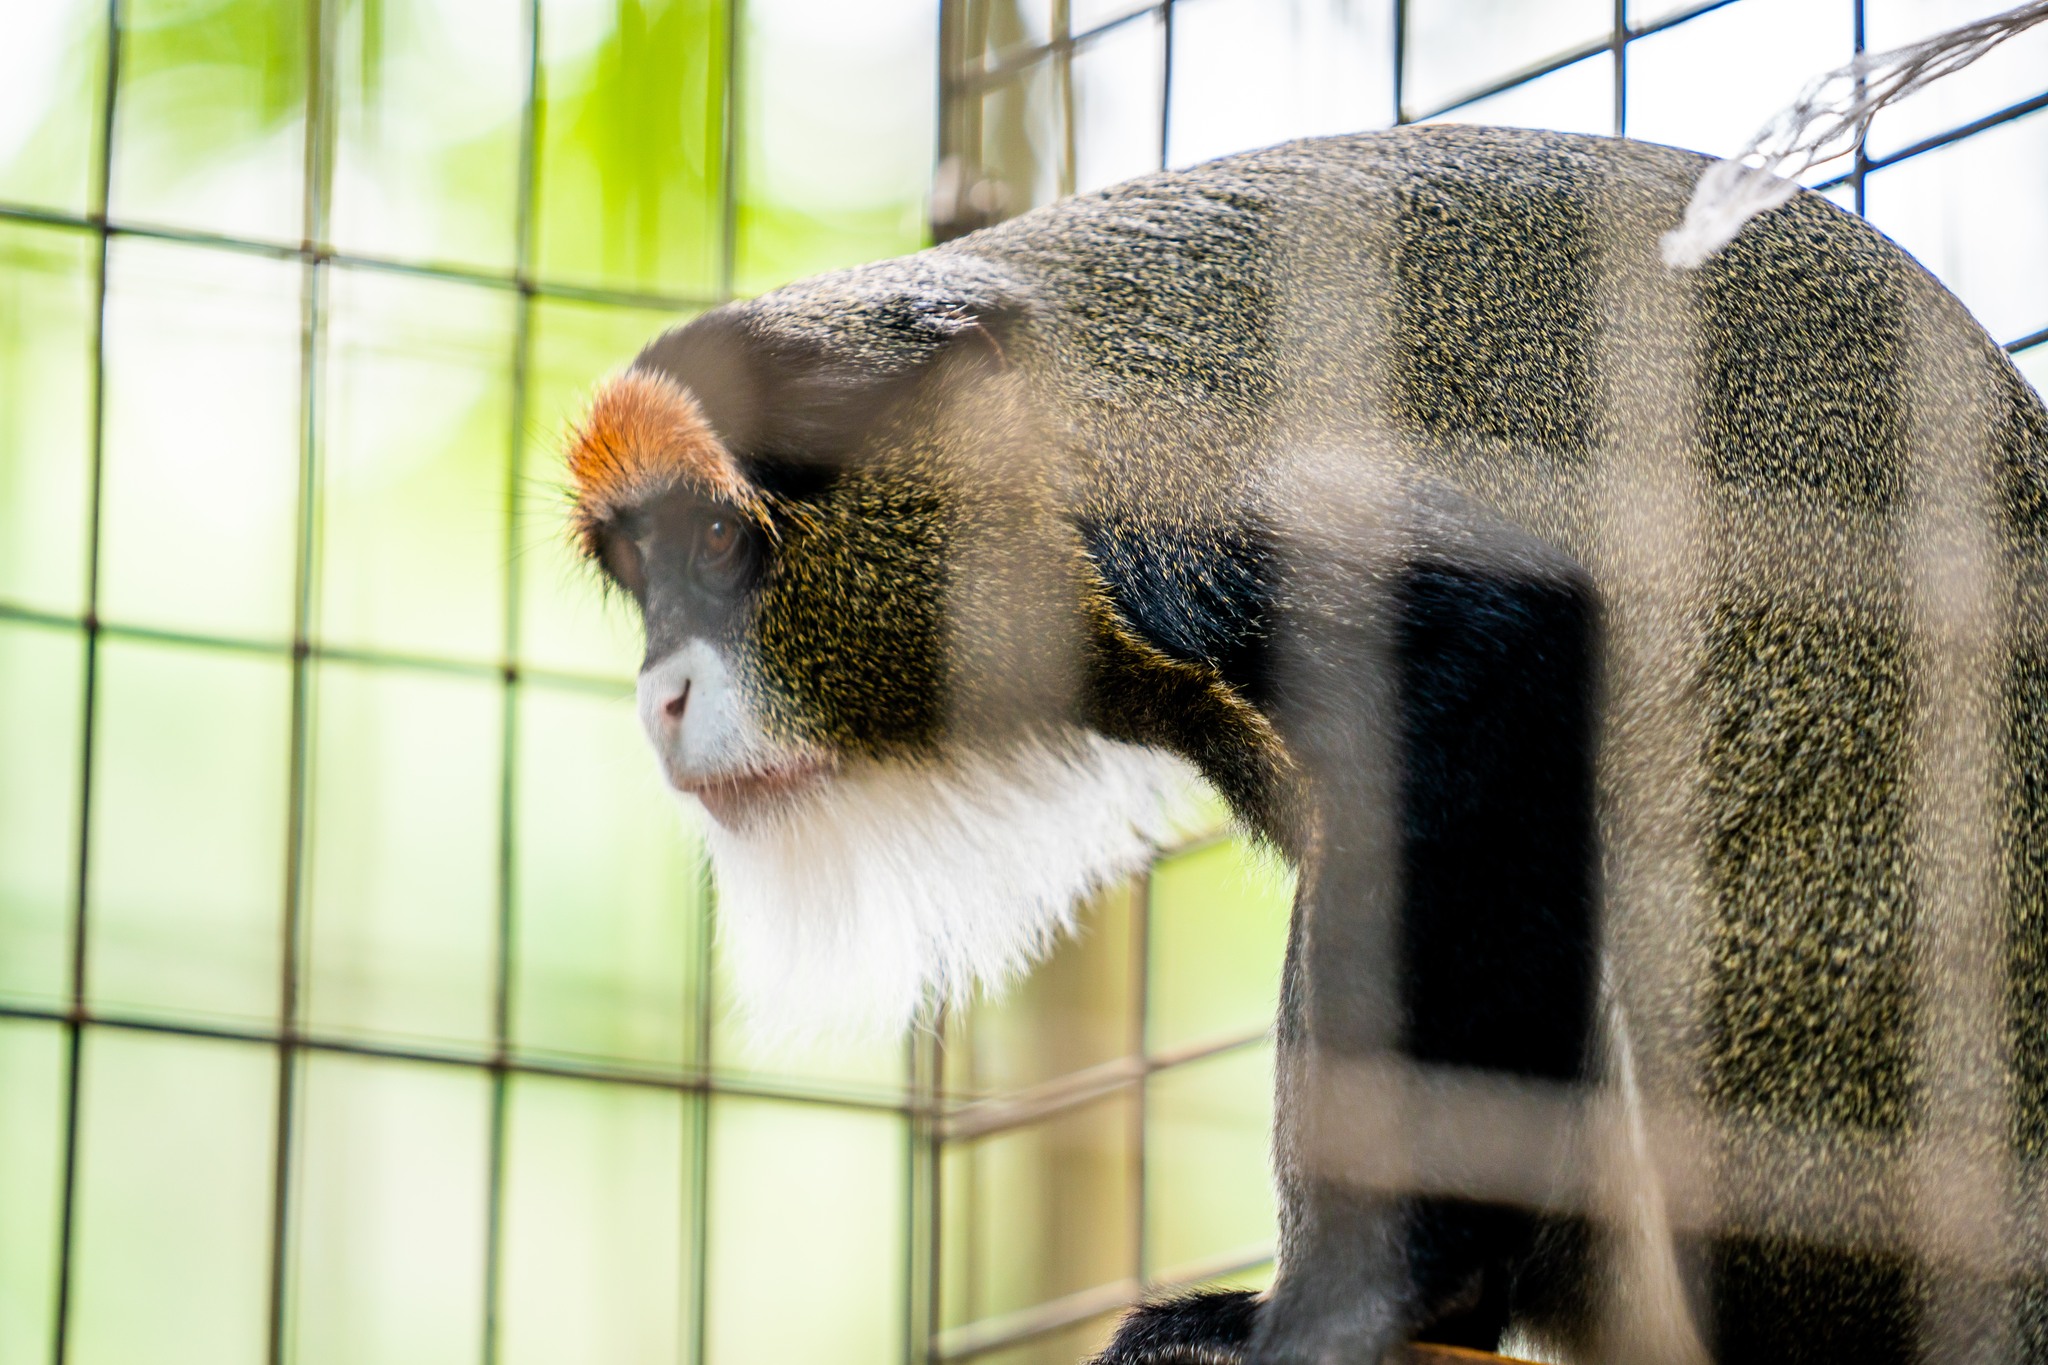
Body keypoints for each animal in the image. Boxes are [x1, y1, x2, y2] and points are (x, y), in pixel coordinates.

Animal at [563, 125, 2048, 1364]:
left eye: (717, 544)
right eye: (639, 567)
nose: (659, 698)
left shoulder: (1175, 491)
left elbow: (1499, 649)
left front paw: (1351, 1312)